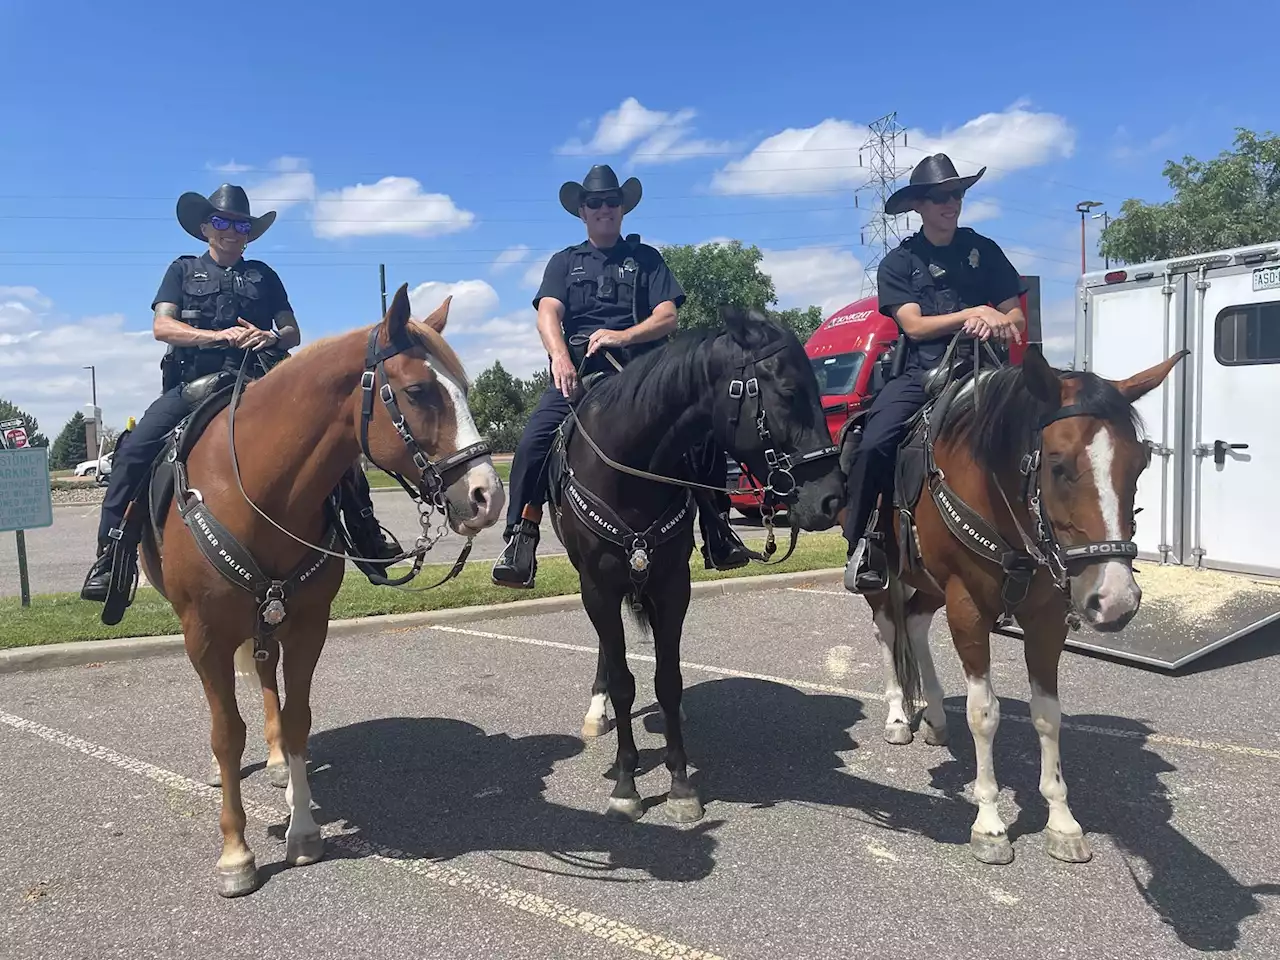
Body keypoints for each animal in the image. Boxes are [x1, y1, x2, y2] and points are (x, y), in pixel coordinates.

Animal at [136, 281, 504, 901]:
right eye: (418, 390)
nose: (487, 496)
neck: (253, 487)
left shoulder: (308, 625)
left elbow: (298, 717)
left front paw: (303, 829)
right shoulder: (205, 636)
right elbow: (225, 733)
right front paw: (236, 854)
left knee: (267, 681)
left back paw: (280, 764)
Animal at [545, 308, 844, 829]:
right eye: (789, 392)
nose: (831, 498)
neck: (628, 472)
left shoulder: (671, 586)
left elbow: (668, 681)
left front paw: (681, 783)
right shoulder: (598, 585)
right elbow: (624, 683)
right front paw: (626, 785)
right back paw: (597, 709)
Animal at [855, 343, 1182, 870]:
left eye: (1139, 465)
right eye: (1058, 464)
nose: (1115, 600)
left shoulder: (1046, 619)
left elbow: (1047, 714)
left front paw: (1062, 823)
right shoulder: (967, 607)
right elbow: (983, 713)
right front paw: (989, 824)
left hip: (928, 585)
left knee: (918, 626)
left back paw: (935, 718)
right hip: (885, 581)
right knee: (889, 632)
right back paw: (899, 719)